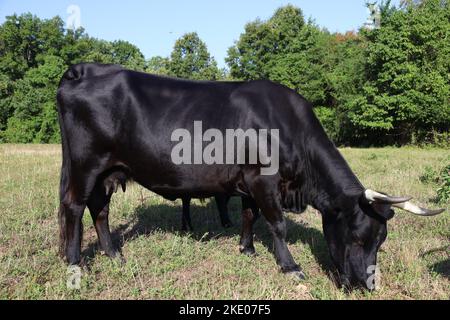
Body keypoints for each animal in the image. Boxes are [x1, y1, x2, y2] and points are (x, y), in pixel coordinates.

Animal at [56, 62, 442, 290]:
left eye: (382, 241)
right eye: (360, 237)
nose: (368, 285)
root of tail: (85, 68)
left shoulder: (249, 184)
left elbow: (249, 215)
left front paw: (247, 248)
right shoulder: (263, 181)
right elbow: (277, 224)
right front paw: (290, 266)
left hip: (108, 171)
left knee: (100, 210)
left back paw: (113, 255)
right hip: (86, 165)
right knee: (74, 207)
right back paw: (75, 263)